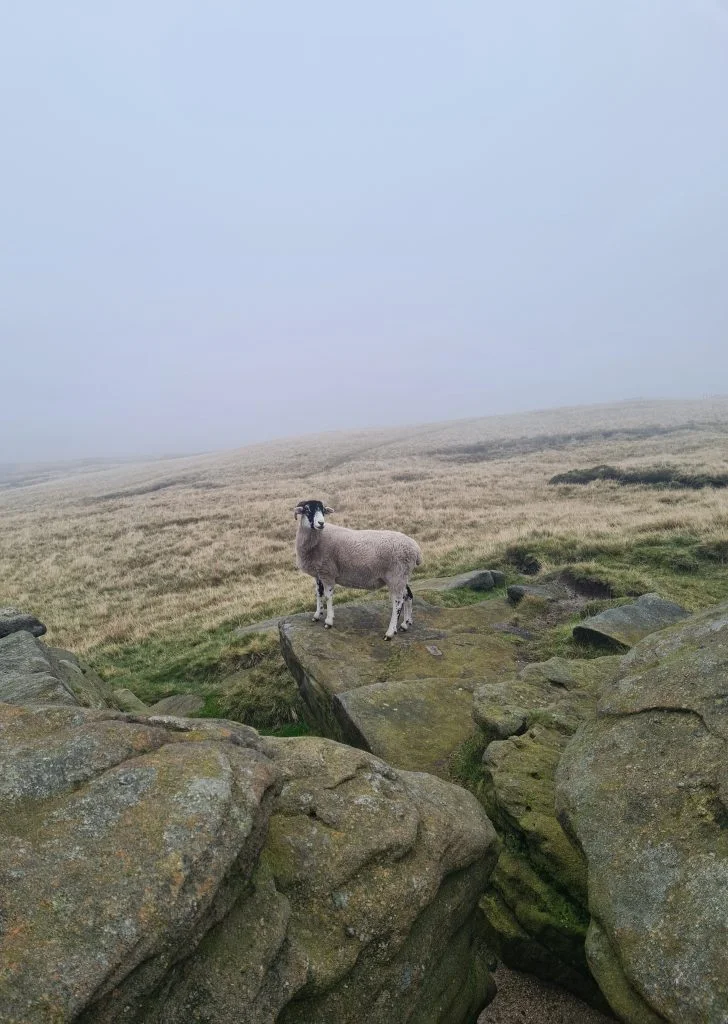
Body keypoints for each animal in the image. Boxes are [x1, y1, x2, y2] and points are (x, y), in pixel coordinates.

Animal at [293, 499, 422, 640]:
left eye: (322, 510)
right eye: (307, 510)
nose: (321, 523)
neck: (318, 540)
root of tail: (416, 549)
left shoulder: (328, 573)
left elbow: (328, 596)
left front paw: (328, 621)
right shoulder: (319, 574)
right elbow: (318, 593)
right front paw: (317, 615)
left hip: (396, 576)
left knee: (398, 602)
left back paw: (390, 632)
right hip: (402, 576)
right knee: (408, 595)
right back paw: (405, 624)